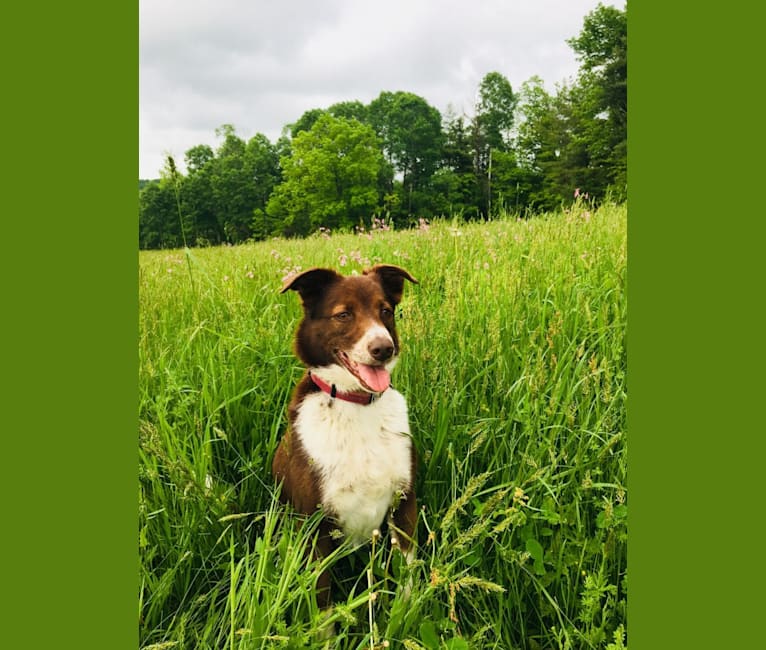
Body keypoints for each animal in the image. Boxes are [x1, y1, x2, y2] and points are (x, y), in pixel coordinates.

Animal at [272, 262, 420, 608]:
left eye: (386, 311)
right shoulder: (314, 527)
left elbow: (406, 577)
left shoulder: (405, 503)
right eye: (343, 314)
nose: (383, 349)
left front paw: (407, 613)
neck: (356, 403)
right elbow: (322, 600)